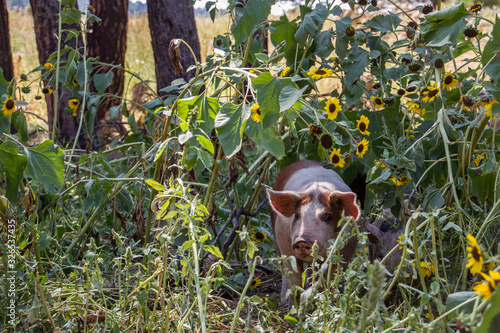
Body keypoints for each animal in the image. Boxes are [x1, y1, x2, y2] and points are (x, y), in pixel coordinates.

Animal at [268, 160, 362, 308]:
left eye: (327, 216)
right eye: (297, 215)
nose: (302, 240)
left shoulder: (347, 248)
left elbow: (330, 279)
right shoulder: (284, 241)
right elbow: (294, 277)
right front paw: (293, 308)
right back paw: (284, 300)